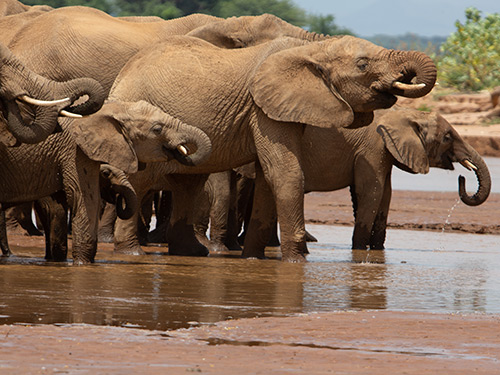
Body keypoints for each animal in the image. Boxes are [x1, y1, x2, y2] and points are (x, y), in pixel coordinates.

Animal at [0, 100, 213, 264]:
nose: (180, 151)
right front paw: (83, 264)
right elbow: (84, 199)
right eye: (157, 129)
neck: (109, 108)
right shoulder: (74, 152)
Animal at [109, 35, 438, 262]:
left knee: (189, 184)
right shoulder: (263, 109)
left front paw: (253, 258)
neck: (310, 49)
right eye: (363, 65)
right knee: (142, 181)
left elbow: (268, 178)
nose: (407, 78)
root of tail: (120, 77)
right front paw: (295, 261)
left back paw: (190, 253)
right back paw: (131, 253)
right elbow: (285, 173)